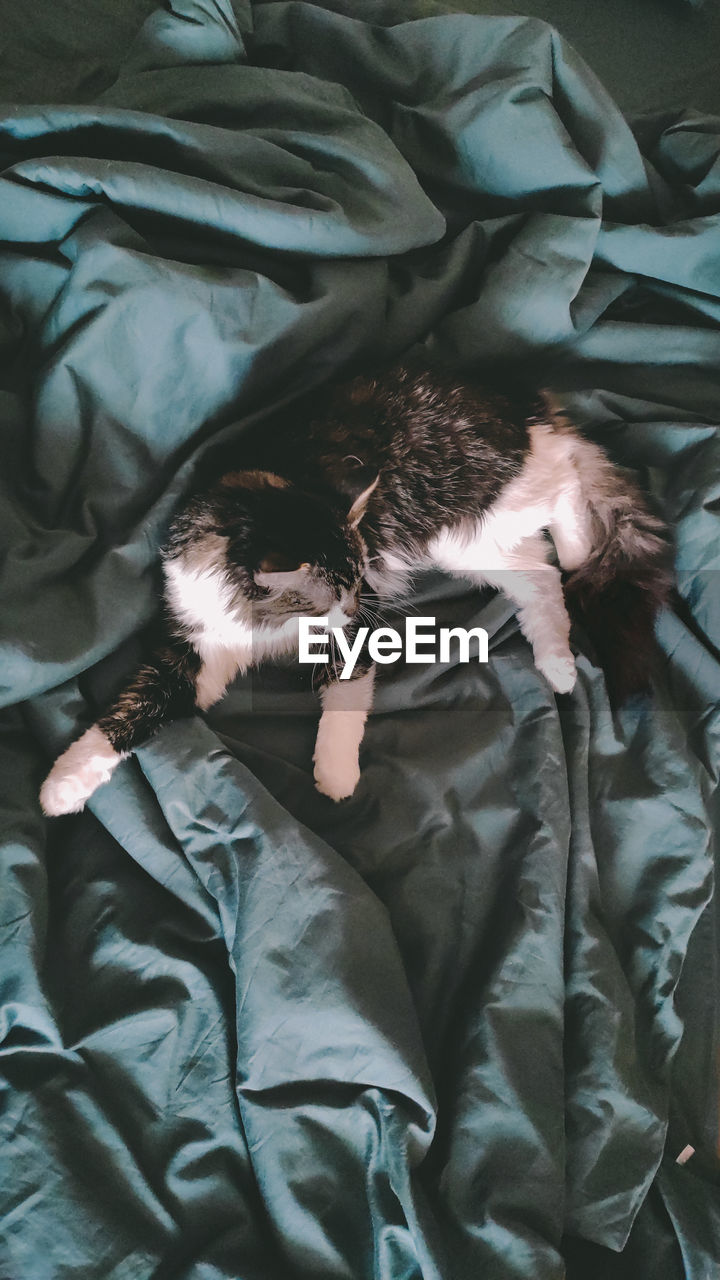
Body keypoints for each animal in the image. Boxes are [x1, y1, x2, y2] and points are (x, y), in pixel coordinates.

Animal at [39, 355, 671, 814]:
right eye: (331, 592)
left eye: (357, 581)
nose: (350, 607)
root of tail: (516, 398)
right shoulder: (196, 648)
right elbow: (129, 713)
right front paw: (64, 783)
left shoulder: (355, 632)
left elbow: (343, 706)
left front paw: (336, 776)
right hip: (474, 544)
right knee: (541, 576)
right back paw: (559, 663)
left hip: (478, 506)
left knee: (565, 479)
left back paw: (579, 545)